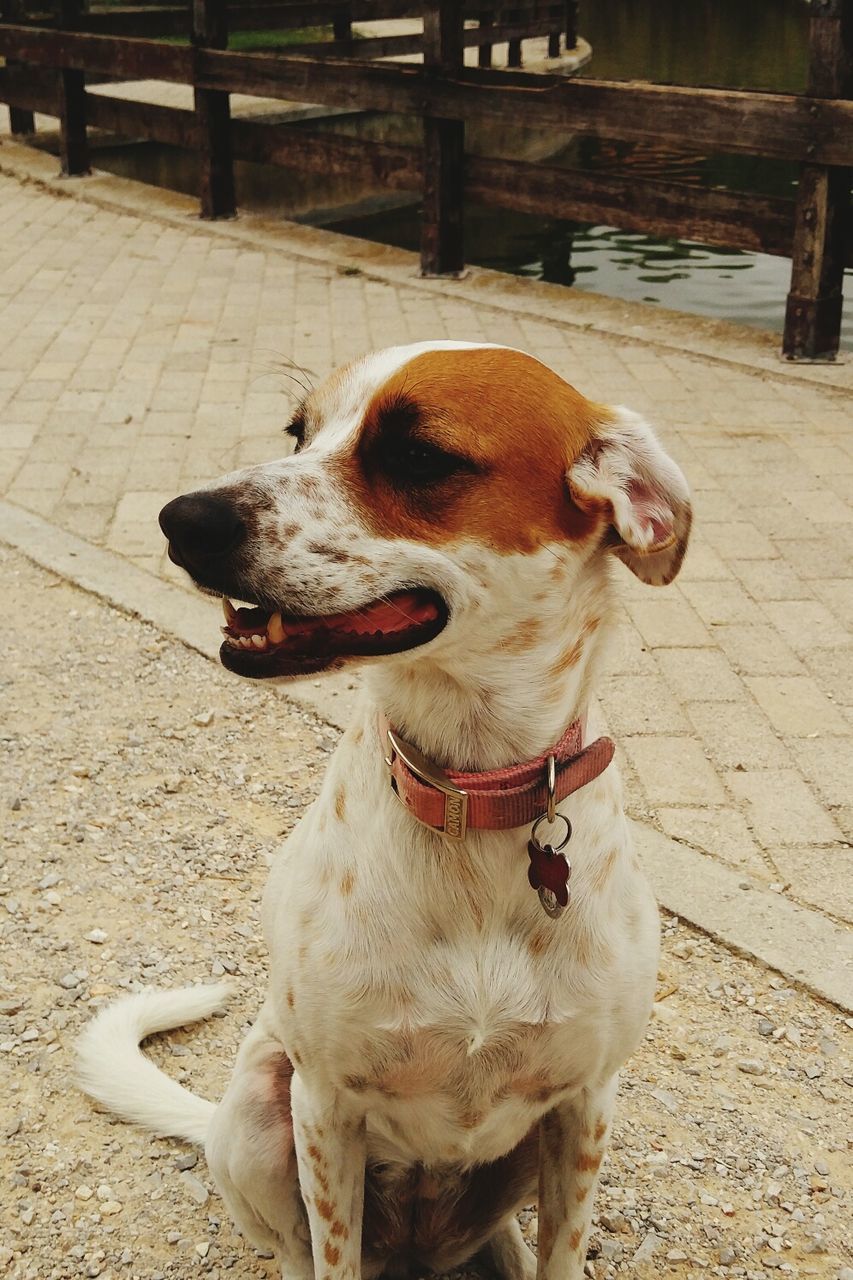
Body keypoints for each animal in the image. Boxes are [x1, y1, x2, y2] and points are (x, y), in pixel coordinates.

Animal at [78, 343, 691, 1280]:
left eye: (416, 454)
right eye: (298, 432)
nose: (181, 519)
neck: (470, 800)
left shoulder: (584, 1104)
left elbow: (563, 1254)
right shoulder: (327, 1105)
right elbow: (327, 1246)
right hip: (260, 1113)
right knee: (294, 1247)